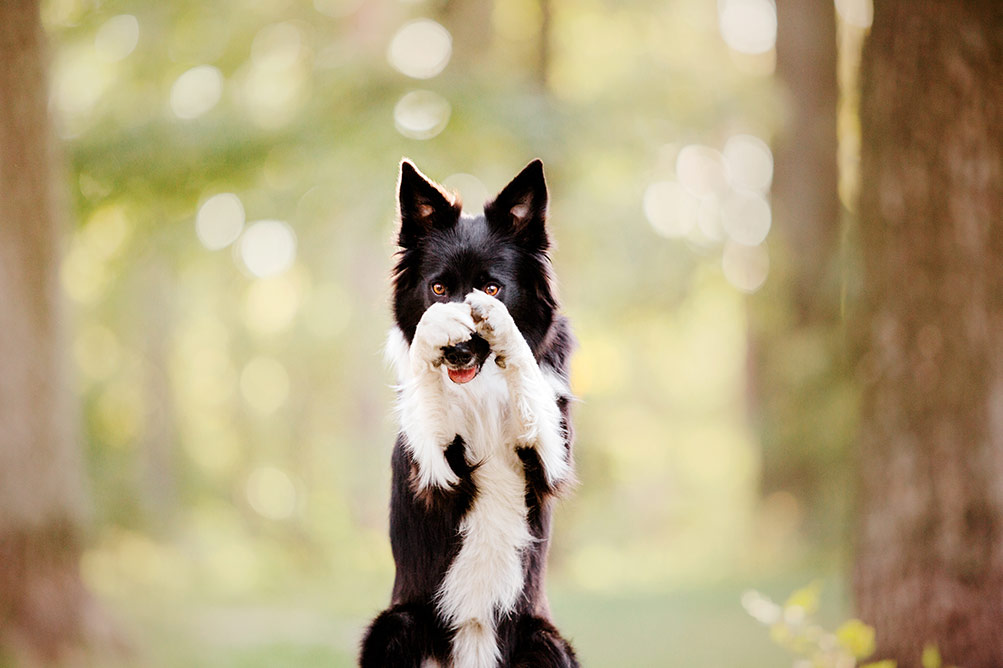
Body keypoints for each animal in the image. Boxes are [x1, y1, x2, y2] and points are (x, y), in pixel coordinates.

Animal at [361, 161, 581, 665]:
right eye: (439, 288)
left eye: (492, 287)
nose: (458, 352)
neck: (481, 388)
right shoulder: (437, 469)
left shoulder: (551, 456)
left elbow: (528, 375)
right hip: (395, 625)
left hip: (544, 640)